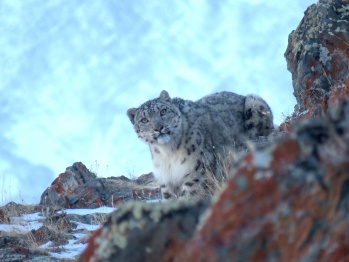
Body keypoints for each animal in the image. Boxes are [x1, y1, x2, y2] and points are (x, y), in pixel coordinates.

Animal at [126, 90, 274, 201]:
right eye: (144, 120)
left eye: (163, 111)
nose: (158, 128)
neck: (167, 152)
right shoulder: (166, 180)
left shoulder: (198, 169)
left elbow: (188, 194)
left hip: (254, 102)